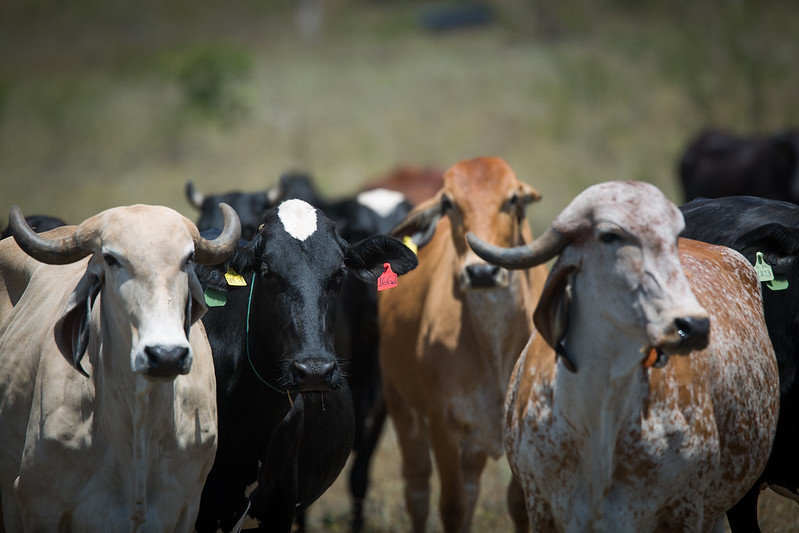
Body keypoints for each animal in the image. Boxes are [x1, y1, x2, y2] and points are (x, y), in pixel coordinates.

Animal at [378, 157, 548, 532]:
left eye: (513, 199)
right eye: (448, 203)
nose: (482, 273)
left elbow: (519, 506)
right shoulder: (443, 424)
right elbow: (452, 507)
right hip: (401, 405)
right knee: (417, 489)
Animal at [468, 180, 780, 532]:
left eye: (672, 237)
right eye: (610, 235)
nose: (693, 325)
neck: (600, 412)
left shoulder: (684, 510)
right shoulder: (540, 509)